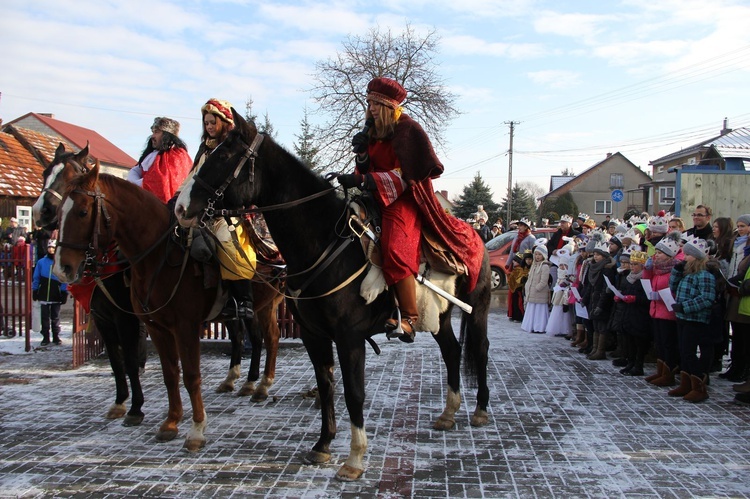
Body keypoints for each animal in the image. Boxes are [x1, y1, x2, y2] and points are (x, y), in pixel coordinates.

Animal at [50, 162, 282, 452]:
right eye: (60, 213)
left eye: (82, 211)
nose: (62, 268)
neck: (157, 256)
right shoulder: (154, 327)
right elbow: (168, 373)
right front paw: (170, 423)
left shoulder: (180, 327)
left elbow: (189, 375)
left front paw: (195, 429)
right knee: (249, 338)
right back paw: (244, 382)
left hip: (266, 307)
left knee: (269, 339)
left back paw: (262, 386)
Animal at [176, 112, 494, 480]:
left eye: (225, 155)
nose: (181, 207)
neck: (324, 242)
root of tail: (474, 234)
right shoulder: (315, 336)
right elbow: (327, 385)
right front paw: (323, 445)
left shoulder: (349, 338)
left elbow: (354, 393)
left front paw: (355, 458)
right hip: (440, 318)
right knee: (452, 351)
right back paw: (448, 413)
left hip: (477, 309)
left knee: (479, 349)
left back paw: (480, 409)